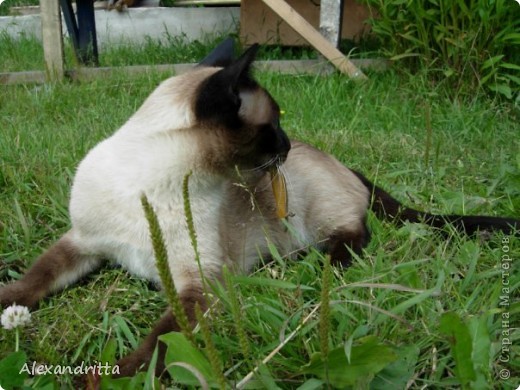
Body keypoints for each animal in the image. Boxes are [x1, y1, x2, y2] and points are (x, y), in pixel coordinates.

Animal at [0, 38, 516, 376]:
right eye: (275, 126)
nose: (287, 144)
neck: (145, 187)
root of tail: (342, 162)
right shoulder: (83, 244)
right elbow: (33, 280)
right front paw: (9, 305)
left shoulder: (199, 286)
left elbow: (163, 340)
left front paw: (112, 377)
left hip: (315, 217)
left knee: (355, 237)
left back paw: (310, 262)